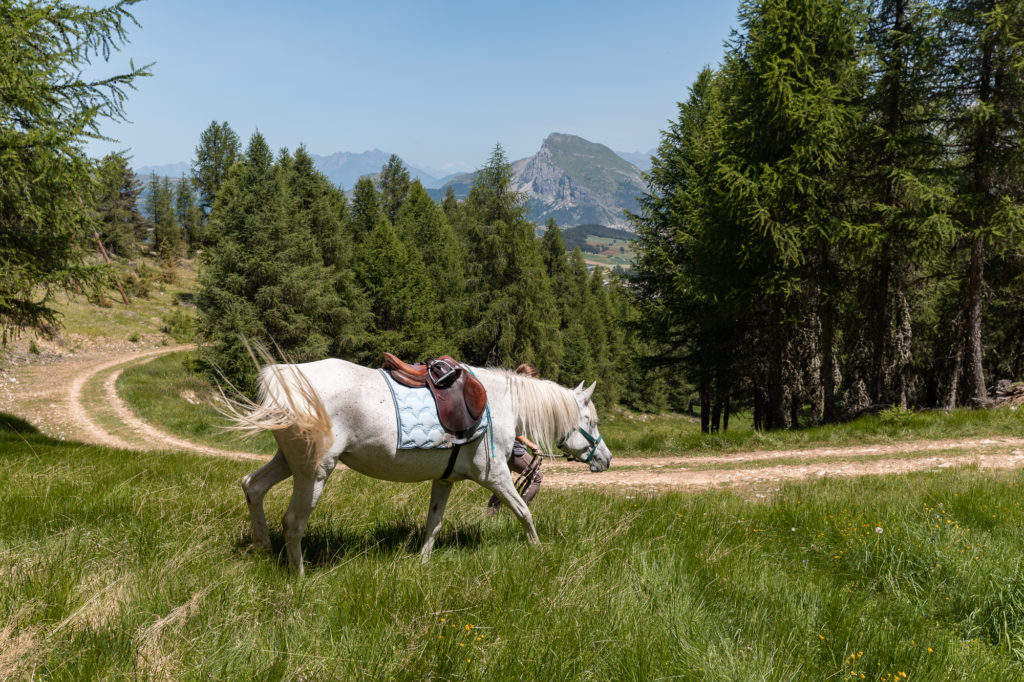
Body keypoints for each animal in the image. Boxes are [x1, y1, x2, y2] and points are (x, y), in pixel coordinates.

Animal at [228, 356, 610, 573]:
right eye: (591, 421)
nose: (605, 459)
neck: (499, 404)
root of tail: (282, 379)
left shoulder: (445, 480)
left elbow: (434, 524)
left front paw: (423, 563)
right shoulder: (496, 476)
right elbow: (523, 512)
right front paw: (538, 550)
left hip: (288, 462)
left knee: (253, 486)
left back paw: (262, 546)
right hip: (314, 471)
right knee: (293, 521)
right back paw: (300, 576)